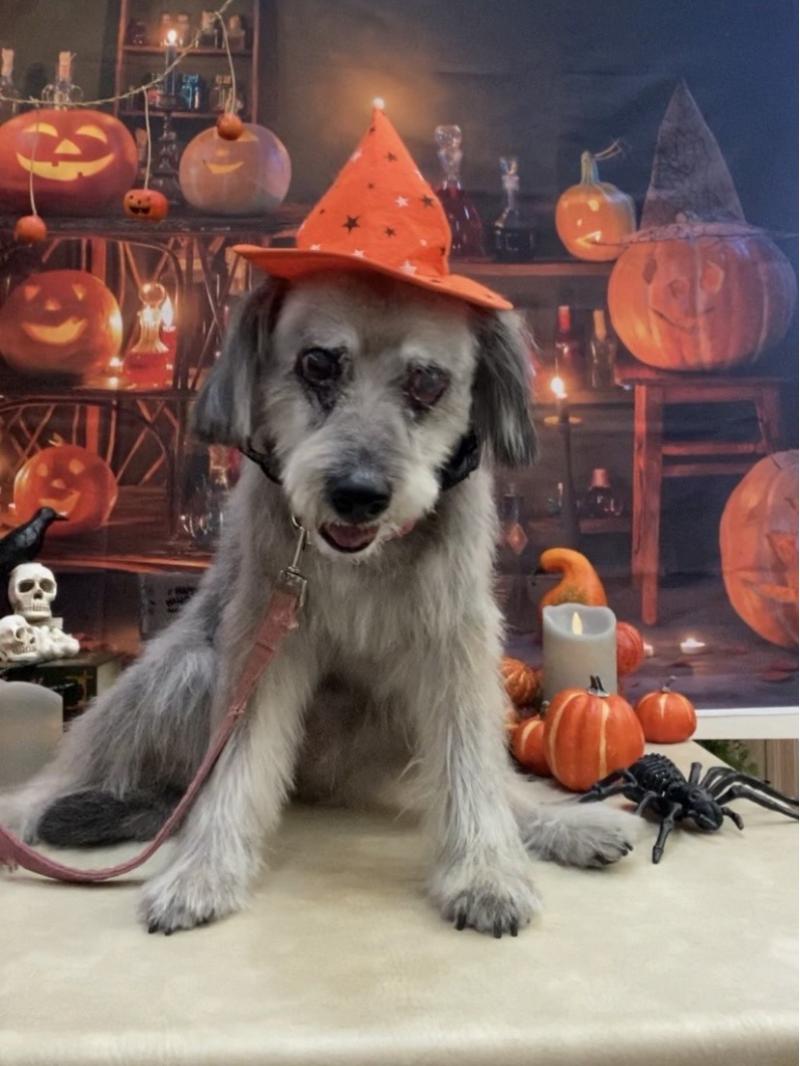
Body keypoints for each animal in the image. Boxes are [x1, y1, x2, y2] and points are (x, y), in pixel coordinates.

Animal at [0, 272, 635, 935]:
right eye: (318, 363)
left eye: (427, 381)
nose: (359, 494)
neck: (363, 558)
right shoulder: (261, 646)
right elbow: (236, 768)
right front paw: (204, 871)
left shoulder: (456, 646)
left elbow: (471, 765)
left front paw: (486, 871)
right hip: (188, 670)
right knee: (68, 777)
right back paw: (23, 822)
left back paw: (566, 824)